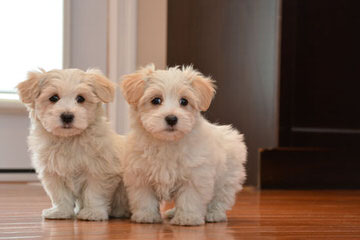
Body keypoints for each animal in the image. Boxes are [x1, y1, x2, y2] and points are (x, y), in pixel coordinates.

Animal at [17, 68, 129, 220]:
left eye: (81, 98)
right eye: (53, 98)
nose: (67, 116)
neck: (69, 140)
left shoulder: (100, 170)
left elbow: (95, 193)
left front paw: (93, 212)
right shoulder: (53, 172)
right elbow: (59, 195)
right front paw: (60, 211)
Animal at [119, 64, 246, 225]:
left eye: (184, 101)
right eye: (156, 100)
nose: (171, 118)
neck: (167, 143)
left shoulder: (195, 175)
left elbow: (189, 198)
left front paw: (188, 218)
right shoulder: (140, 175)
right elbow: (144, 197)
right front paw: (146, 216)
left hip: (226, 178)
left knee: (220, 198)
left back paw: (214, 214)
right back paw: (172, 212)